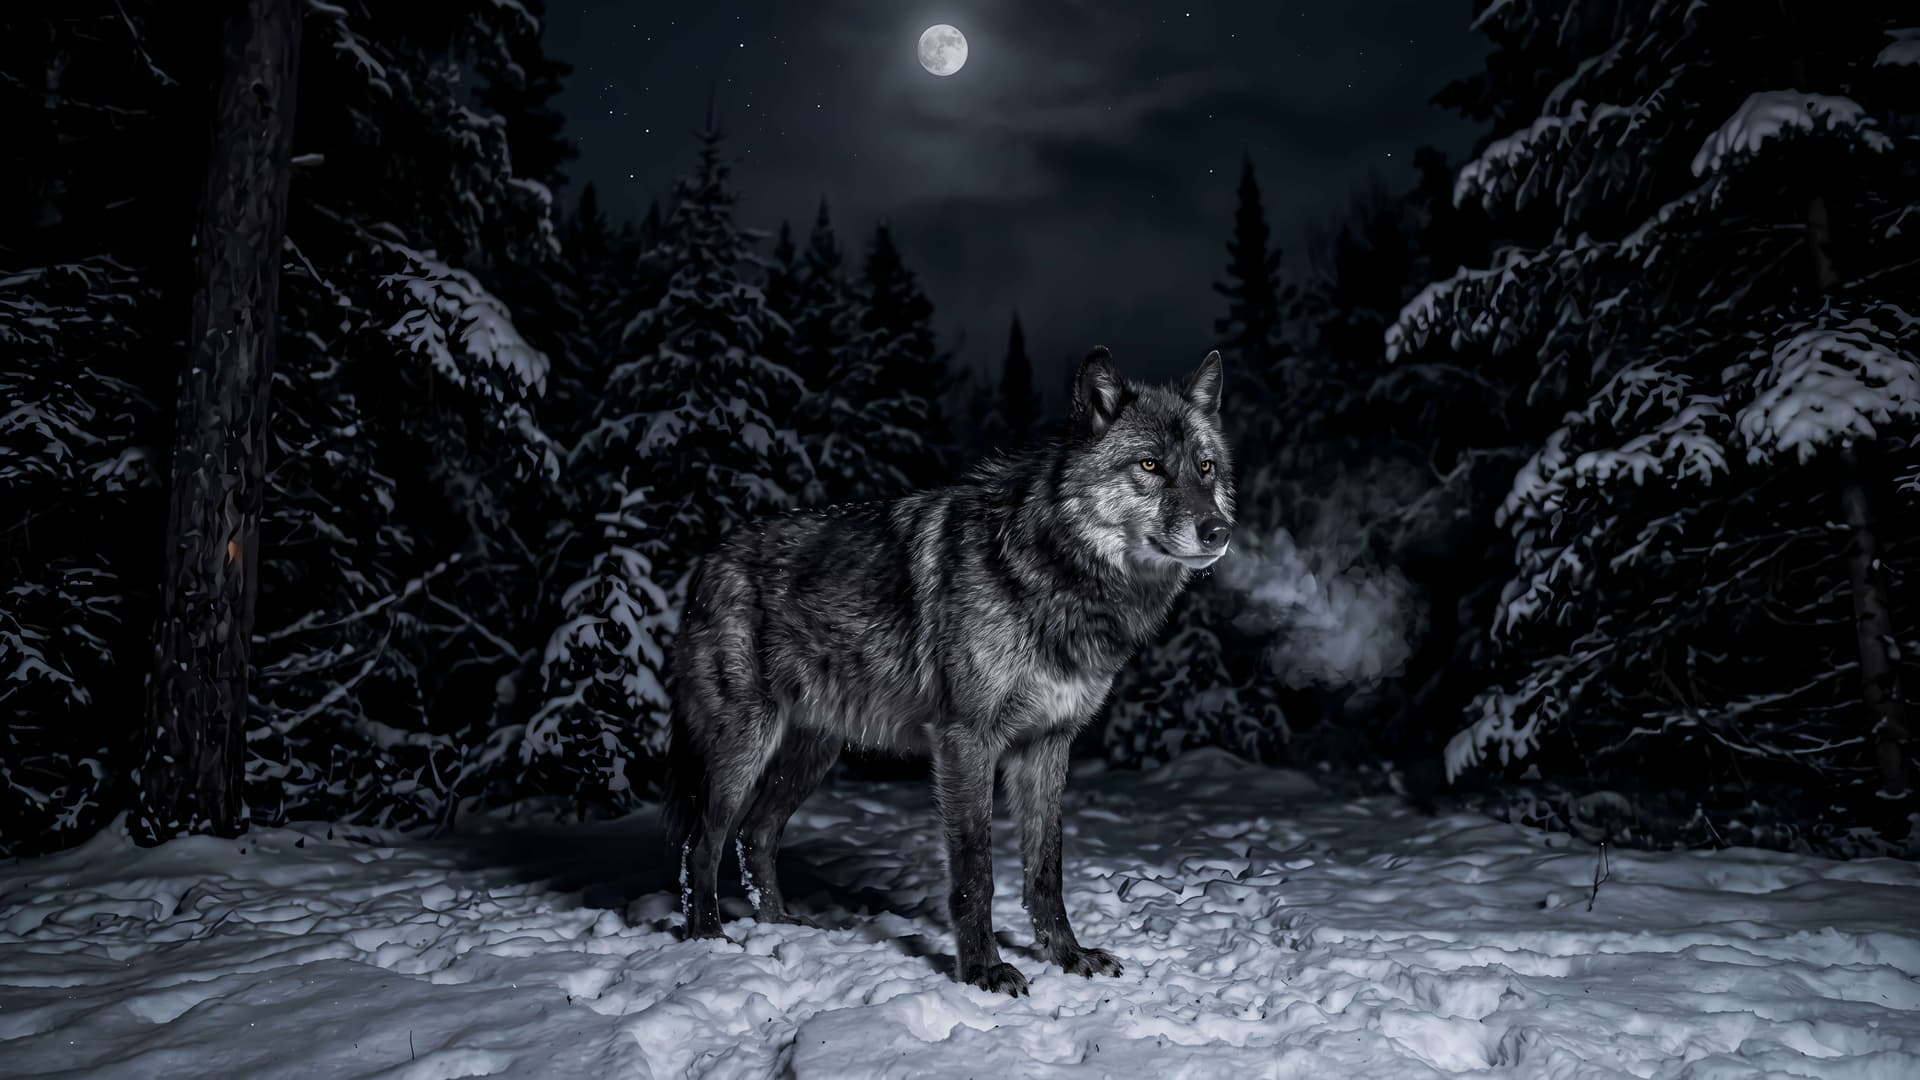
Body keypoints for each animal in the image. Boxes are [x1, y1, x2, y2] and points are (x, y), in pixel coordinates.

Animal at [666, 346, 1234, 996]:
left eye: (1206, 468)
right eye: (1149, 465)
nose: (1219, 531)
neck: (1056, 576)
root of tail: (709, 560)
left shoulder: (1048, 745)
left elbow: (1047, 872)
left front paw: (1068, 956)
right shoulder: (966, 741)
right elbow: (975, 872)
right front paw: (983, 969)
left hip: (812, 754)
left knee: (755, 836)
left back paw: (782, 926)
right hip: (744, 749)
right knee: (702, 843)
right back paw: (709, 939)